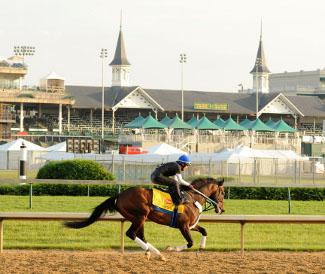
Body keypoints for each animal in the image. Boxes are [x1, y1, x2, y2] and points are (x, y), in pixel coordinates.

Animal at [64, 178, 224, 262]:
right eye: (222, 192)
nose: (222, 210)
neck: (192, 199)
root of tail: (120, 195)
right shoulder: (183, 226)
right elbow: (190, 243)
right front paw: (169, 248)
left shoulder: (190, 225)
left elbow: (204, 231)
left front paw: (200, 249)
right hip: (141, 215)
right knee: (131, 234)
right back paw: (151, 251)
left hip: (138, 218)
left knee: (140, 235)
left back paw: (156, 254)